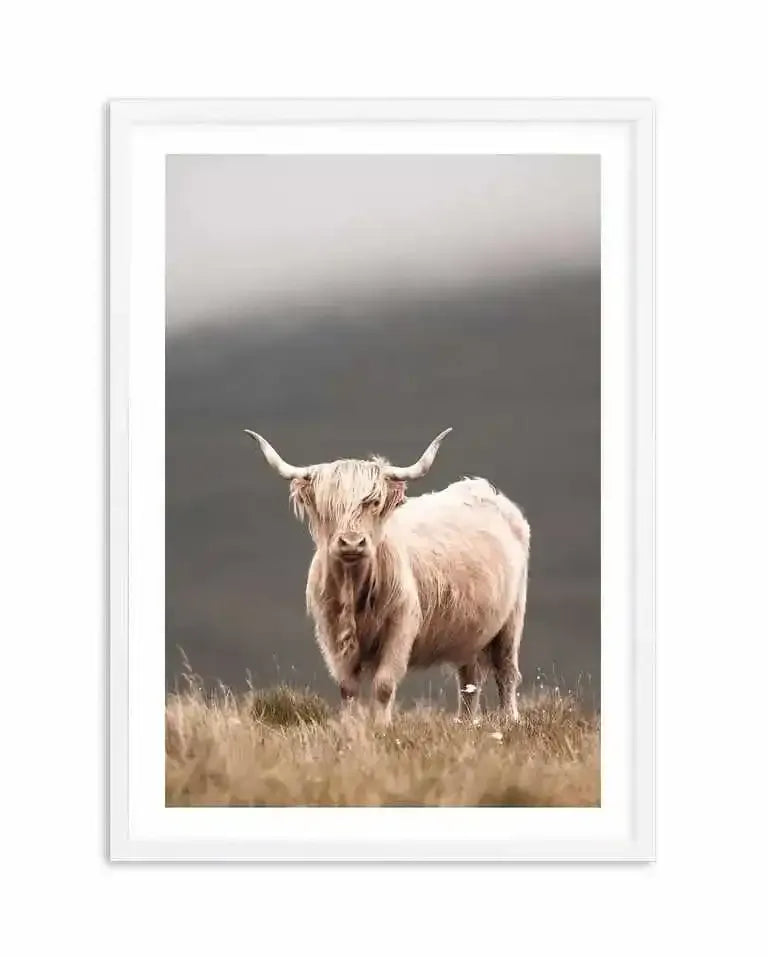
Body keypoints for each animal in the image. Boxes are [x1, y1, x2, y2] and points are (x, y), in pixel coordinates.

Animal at [245, 428, 530, 724]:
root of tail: (481, 488)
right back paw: (465, 722)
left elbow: (384, 684)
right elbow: (347, 687)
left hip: (512, 619)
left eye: (374, 502)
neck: (354, 589)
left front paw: (382, 726)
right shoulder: (331, 632)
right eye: (328, 506)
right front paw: (351, 725)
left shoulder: (401, 625)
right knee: (469, 678)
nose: (351, 542)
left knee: (507, 671)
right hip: (471, 630)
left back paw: (510, 719)